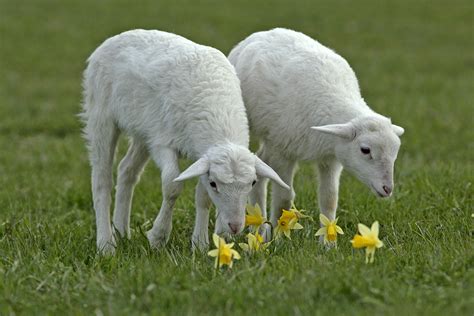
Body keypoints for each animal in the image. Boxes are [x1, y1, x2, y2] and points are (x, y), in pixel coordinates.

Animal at [81, 28, 288, 253]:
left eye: (252, 182)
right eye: (215, 184)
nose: (235, 226)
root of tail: (117, 37)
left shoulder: (200, 153)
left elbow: (202, 197)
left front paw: (199, 244)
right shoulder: (163, 142)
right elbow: (172, 185)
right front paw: (158, 236)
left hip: (144, 131)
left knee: (126, 170)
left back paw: (121, 231)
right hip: (101, 114)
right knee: (101, 179)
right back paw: (106, 244)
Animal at [229, 28, 404, 239]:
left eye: (395, 153)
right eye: (365, 150)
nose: (388, 189)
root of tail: (264, 32)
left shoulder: (331, 158)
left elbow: (329, 199)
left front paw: (328, 242)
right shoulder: (284, 152)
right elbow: (284, 198)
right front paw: (279, 238)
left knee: (261, 163)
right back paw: (261, 231)